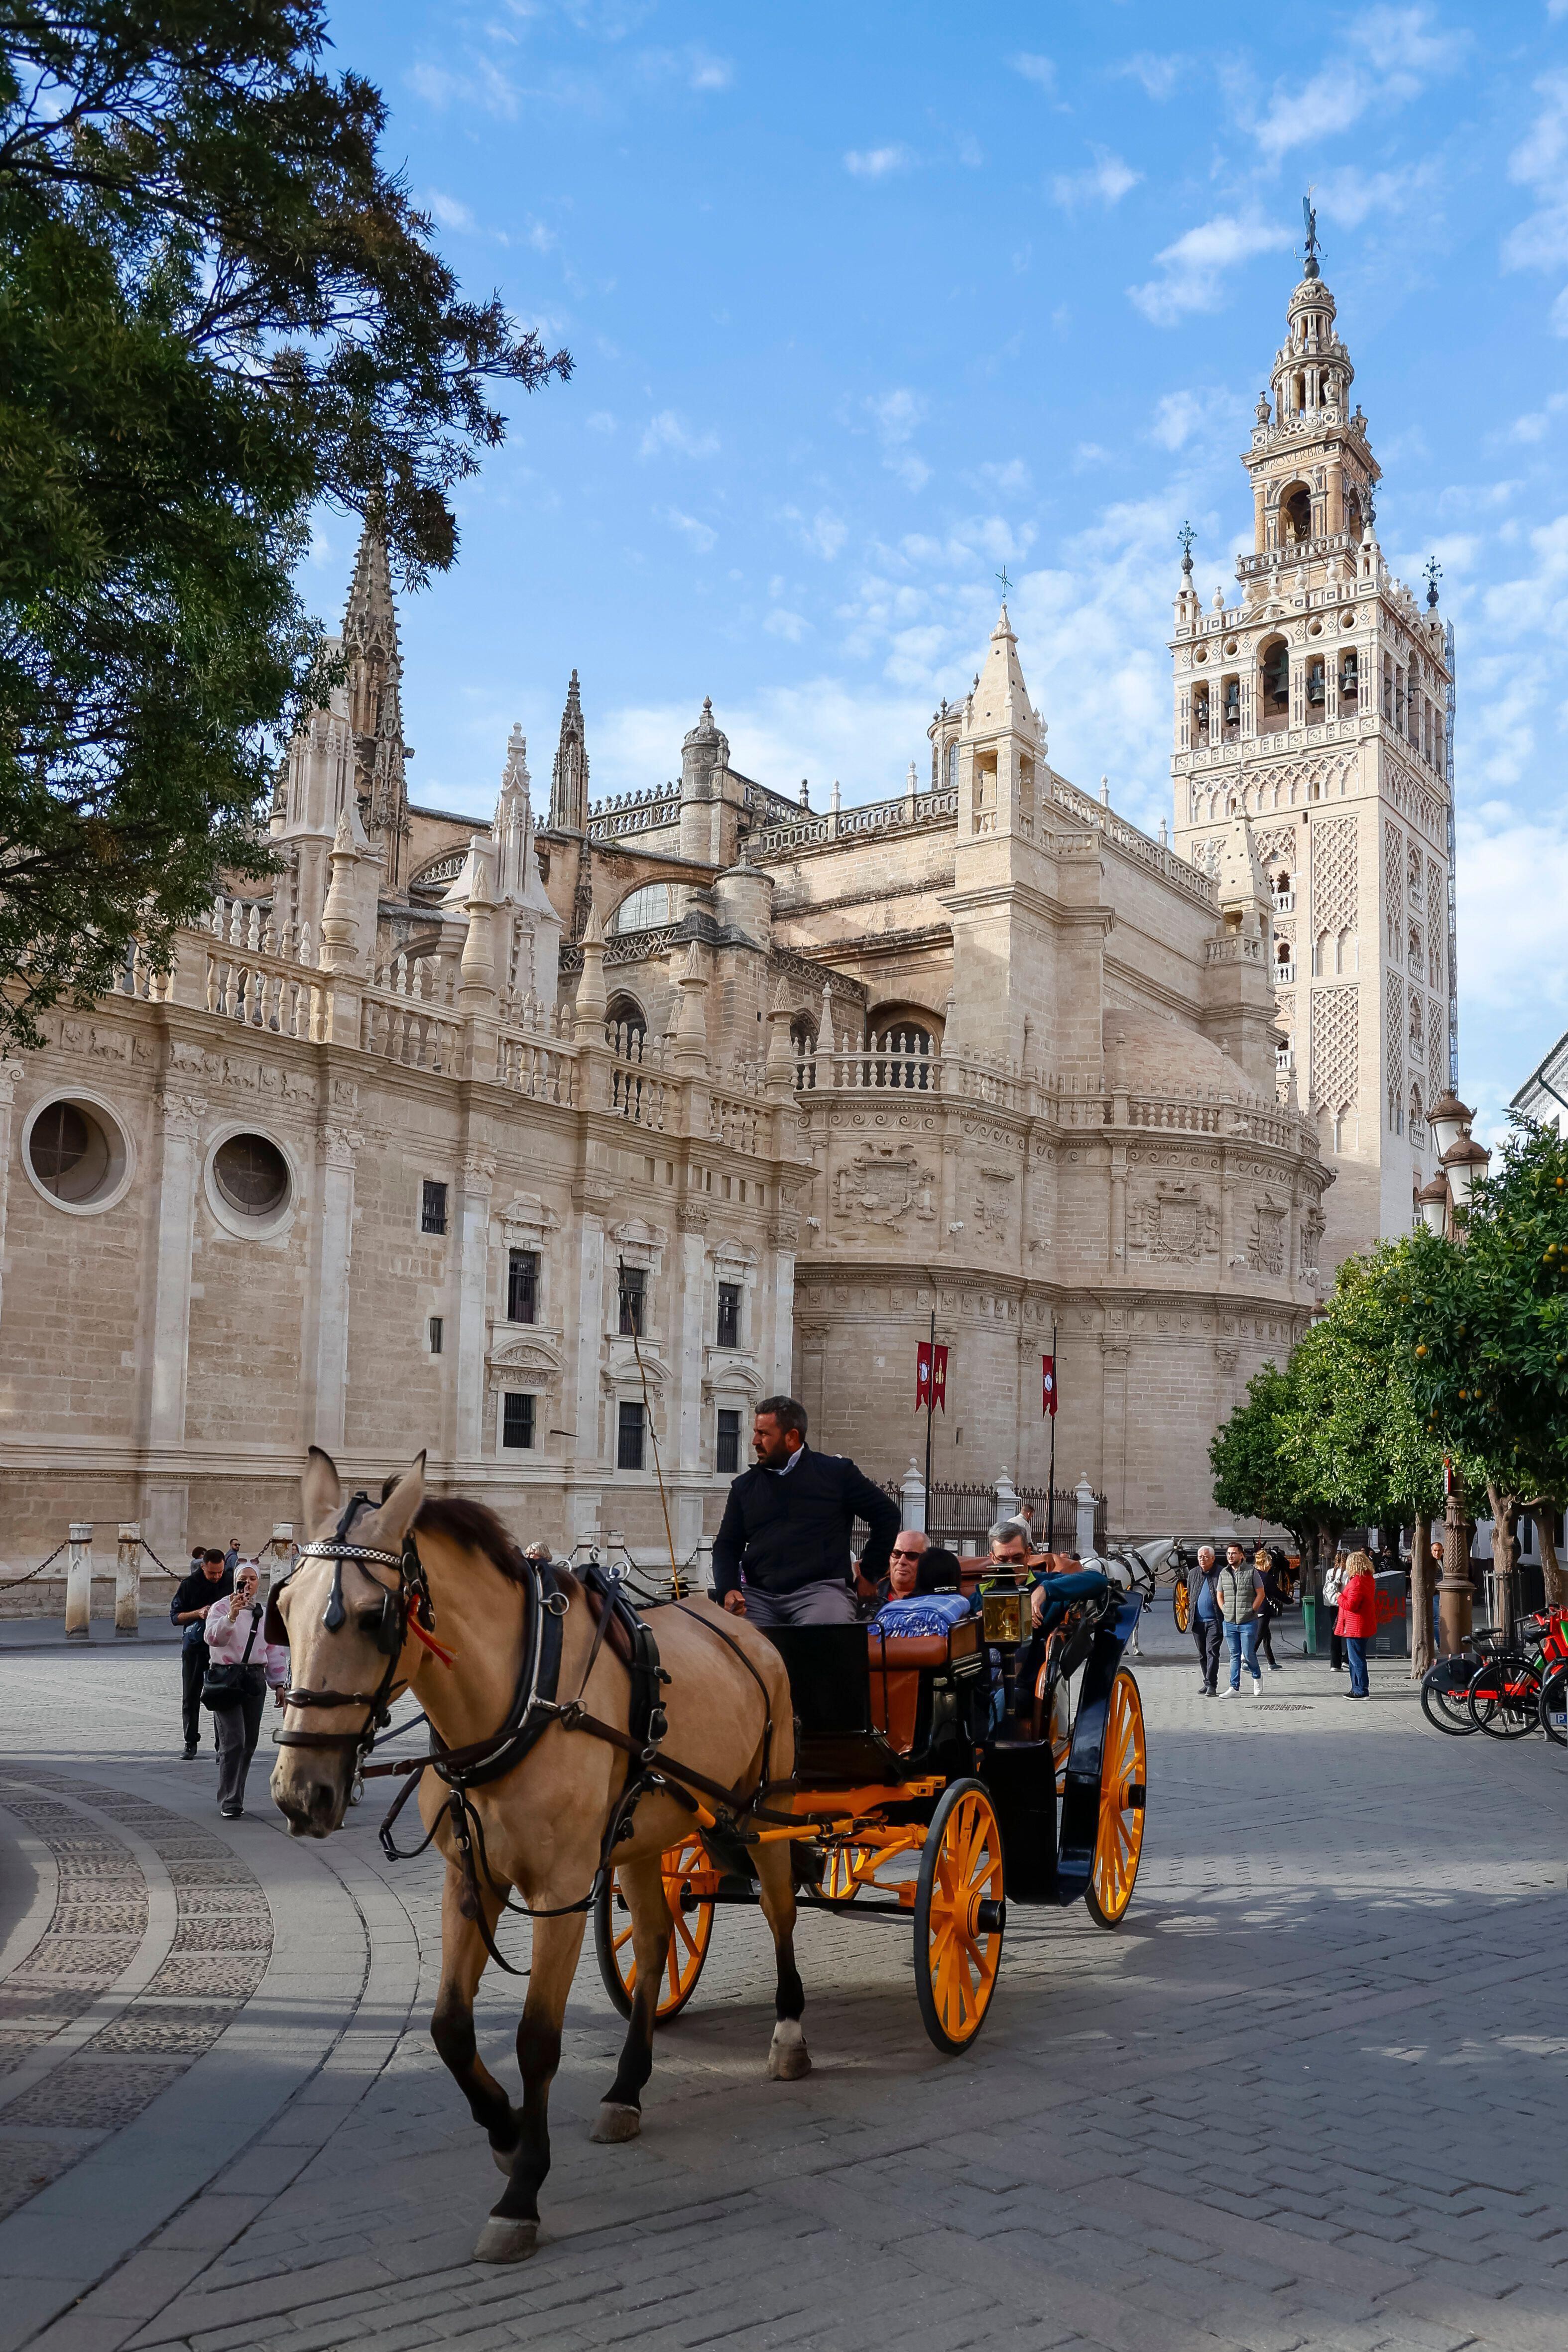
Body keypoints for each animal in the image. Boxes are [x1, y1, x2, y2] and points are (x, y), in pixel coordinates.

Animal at [266, 1439, 809, 2267]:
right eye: (283, 1610)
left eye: (372, 1616)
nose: (302, 1794)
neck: (522, 1699)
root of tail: (737, 1621)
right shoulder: (469, 1877)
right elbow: (450, 2027)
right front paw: (505, 2130)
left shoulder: (560, 1889)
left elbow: (536, 2040)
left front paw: (521, 2189)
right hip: (645, 1834)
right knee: (655, 1940)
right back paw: (626, 2088)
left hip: (761, 1811)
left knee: (780, 1913)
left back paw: (788, 2036)